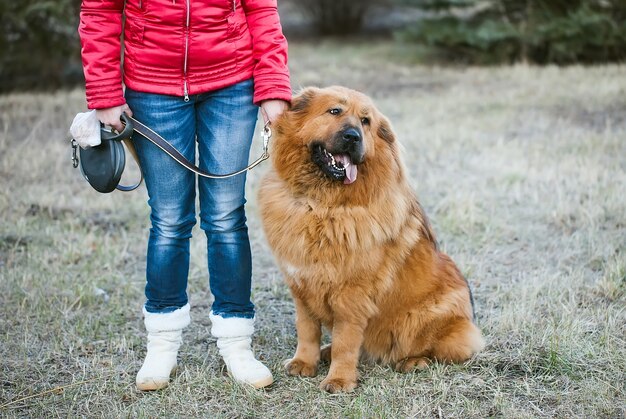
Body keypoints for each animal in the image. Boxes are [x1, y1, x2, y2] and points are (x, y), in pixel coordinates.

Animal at [256, 87, 486, 396]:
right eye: (334, 111)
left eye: (366, 121)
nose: (353, 136)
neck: (323, 206)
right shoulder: (302, 289)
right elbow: (307, 330)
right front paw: (304, 363)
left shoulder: (352, 296)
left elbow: (346, 342)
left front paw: (339, 380)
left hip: (421, 318)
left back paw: (413, 361)